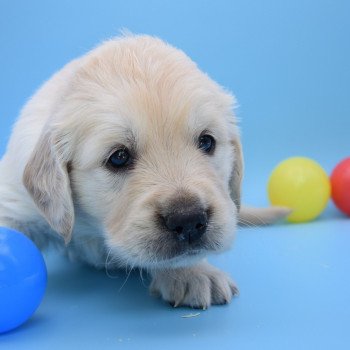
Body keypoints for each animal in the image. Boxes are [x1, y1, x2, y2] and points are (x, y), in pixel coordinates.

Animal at [0, 34, 288, 308]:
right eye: (118, 158)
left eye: (207, 142)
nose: (188, 220)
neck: (94, 229)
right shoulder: (15, 200)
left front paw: (192, 272)